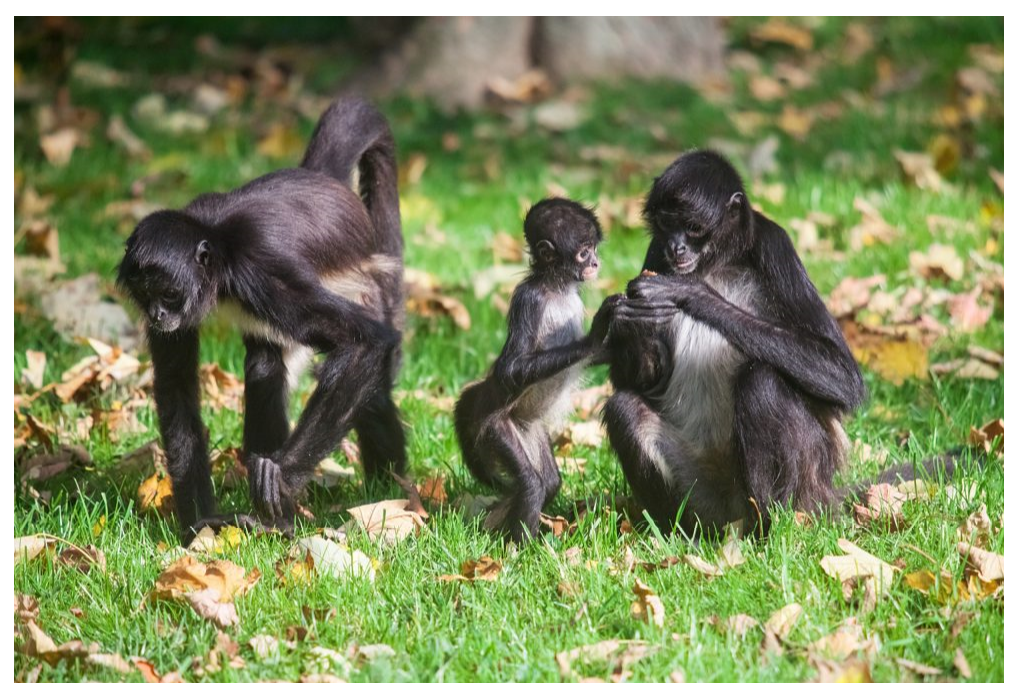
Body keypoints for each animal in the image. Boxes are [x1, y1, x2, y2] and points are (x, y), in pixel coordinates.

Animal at [118, 97, 405, 542]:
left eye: (168, 293)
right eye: (145, 296)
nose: (158, 314)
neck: (218, 241)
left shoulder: (261, 272)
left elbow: (365, 342)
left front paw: (280, 483)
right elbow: (176, 387)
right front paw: (199, 528)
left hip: (364, 285)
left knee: (368, 385)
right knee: (265, 365)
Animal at [454, 200, 612, 546]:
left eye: (594, 248)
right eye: (584, 253)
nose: (596, 262)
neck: (556, 288)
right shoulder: (529, 299)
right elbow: (509, 370)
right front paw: (598, 334)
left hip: (528, 427)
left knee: (549, 481)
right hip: (499, 426)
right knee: (532, 483)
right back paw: (517, 548)